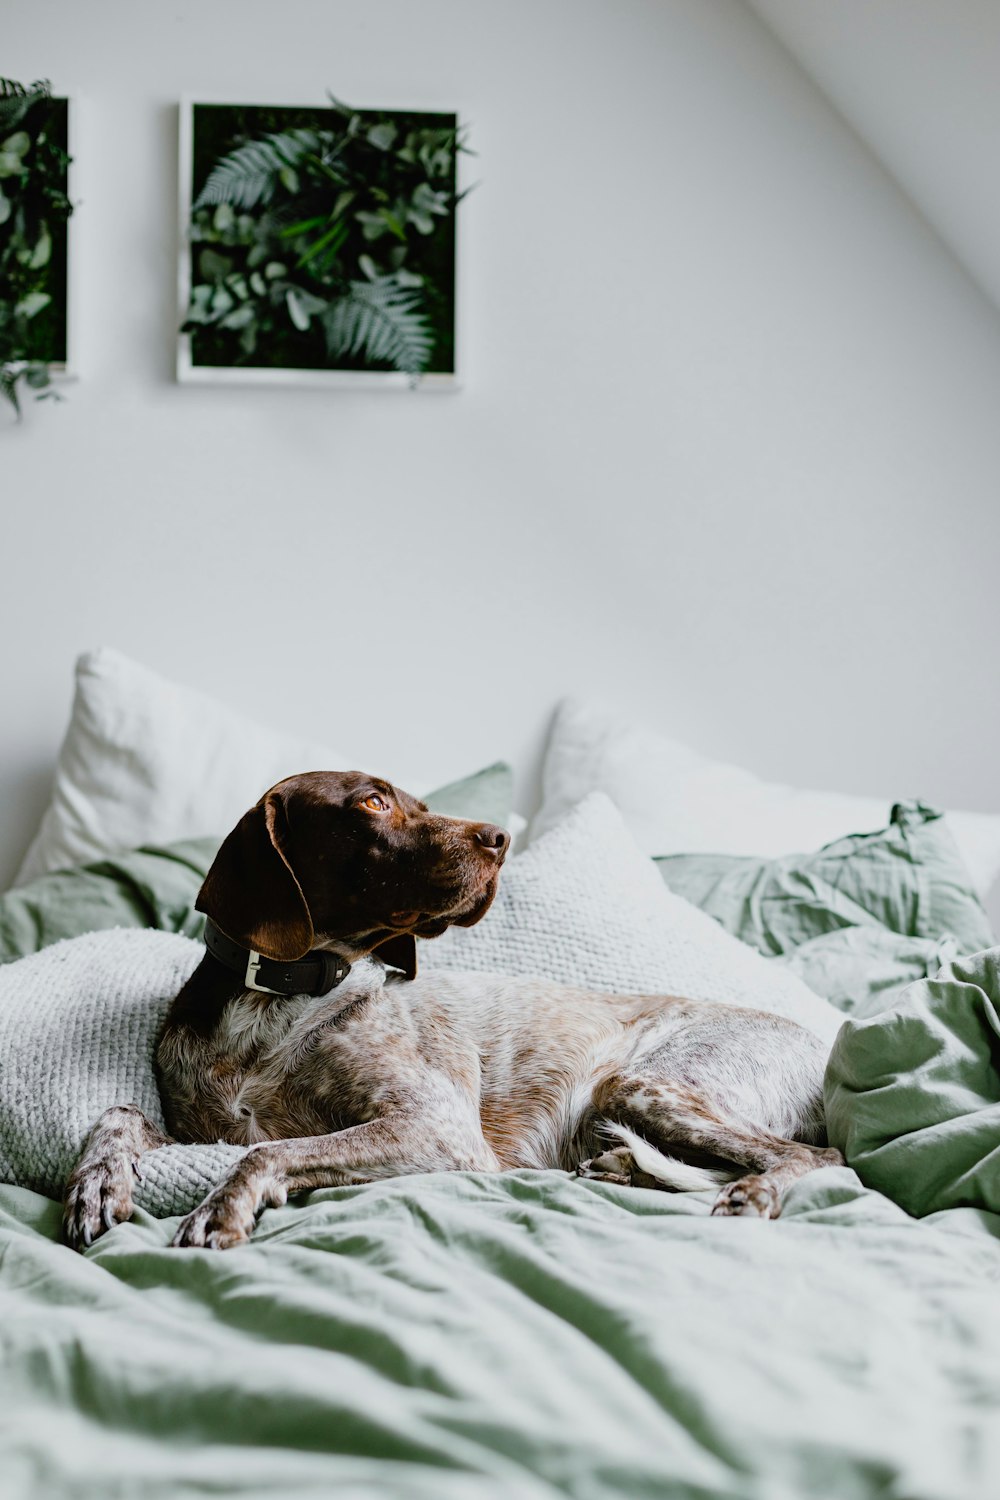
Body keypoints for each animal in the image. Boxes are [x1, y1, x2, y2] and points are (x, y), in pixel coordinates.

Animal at [64, 768, 845, 1248]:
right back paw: (623, 1167)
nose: (500, 839)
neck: (276, 1002)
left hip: (644, 1083)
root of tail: (824, 1046)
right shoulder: (201, 1131)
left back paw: (750, 1193)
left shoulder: (439, 1129)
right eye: (373, 802)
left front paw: (218, 1210)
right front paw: (96, 1182)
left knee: (818, 1154)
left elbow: (268, 1150)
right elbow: (121, 1114)